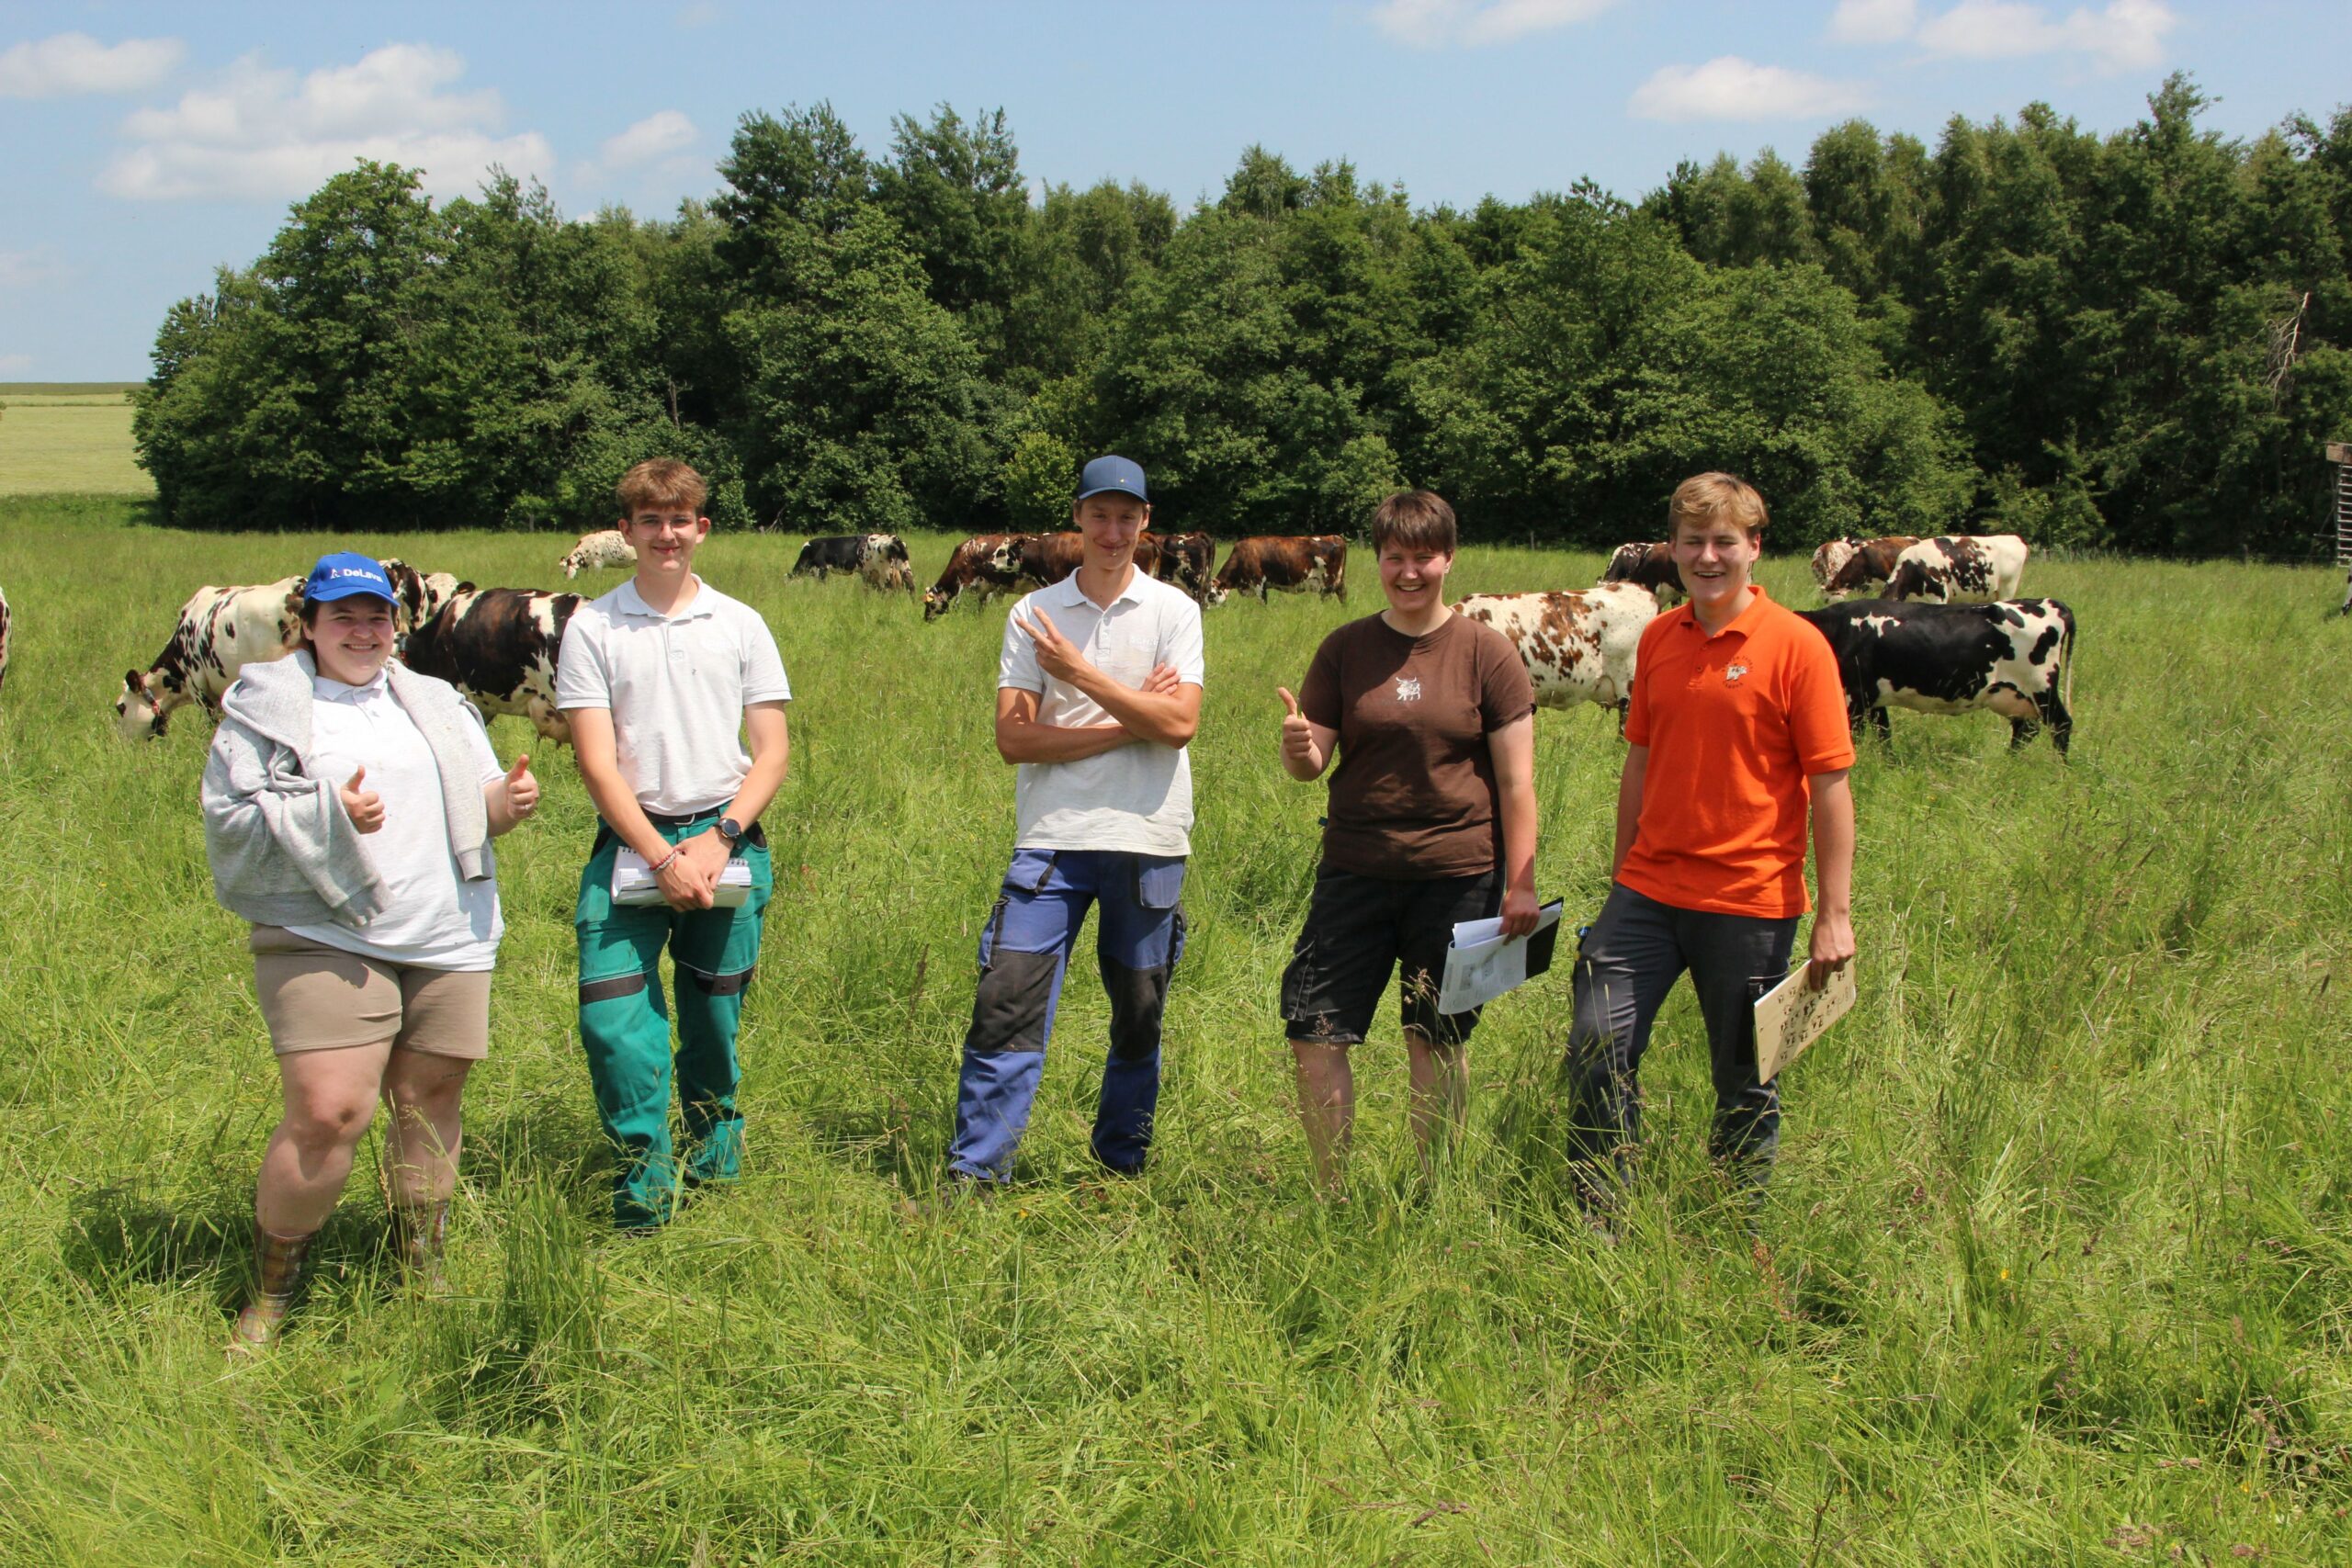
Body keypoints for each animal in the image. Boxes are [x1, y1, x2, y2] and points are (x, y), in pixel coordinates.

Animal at [792, 532, 914, 591]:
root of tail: (892, 539)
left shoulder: (821, 568)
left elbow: (822, 585)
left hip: (885, 573)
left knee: (889, 589)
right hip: (904, 568)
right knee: (910, 586)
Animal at [1205, 535, 1347, 606]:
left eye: (1211, 597)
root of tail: (1335, 537)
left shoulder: (1259, 583)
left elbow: (1263, 604)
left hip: (1328, 582)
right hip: (1338, 581)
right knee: (1343, 596)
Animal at [1794, 597, 2076, 755]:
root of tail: (2049, 603)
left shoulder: (1855, 696)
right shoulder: (1874, 699)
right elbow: (1885, 734)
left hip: (2041, 687)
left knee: (2061, 725)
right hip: (2014, 696)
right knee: (2025, 730)